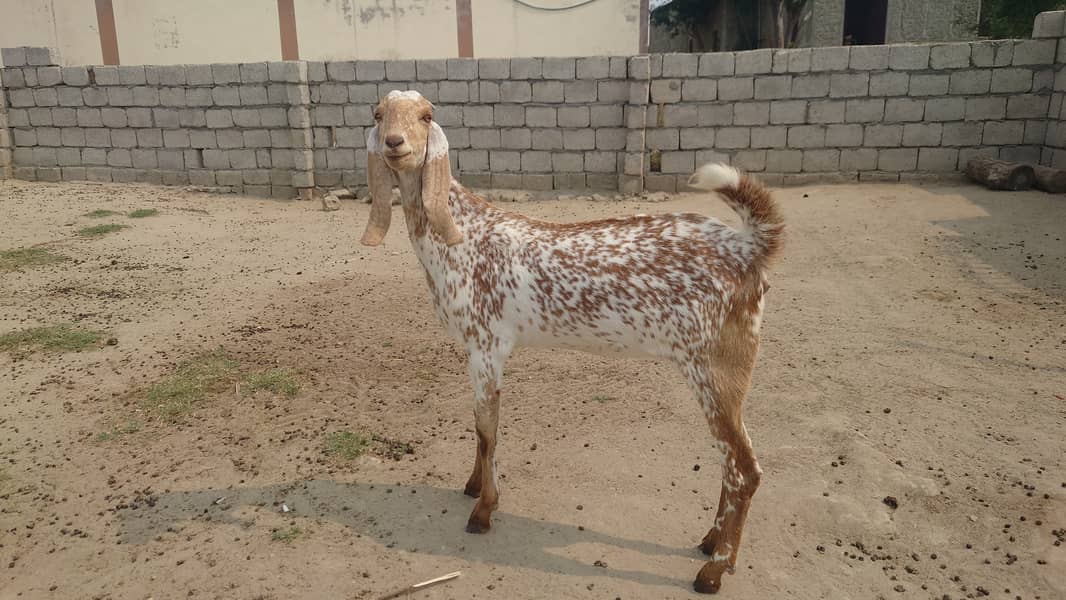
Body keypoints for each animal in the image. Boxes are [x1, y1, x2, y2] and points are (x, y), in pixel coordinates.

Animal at [362, 90, 788, 596]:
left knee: (744, 468)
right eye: (379, 114)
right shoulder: (474, 348)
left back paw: (712, 572)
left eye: (427, 116)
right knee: (732, 460)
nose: (395, 143)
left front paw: (484, 511)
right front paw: (472, 486)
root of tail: (750, 248)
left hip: (717, 365)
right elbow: (480, 428)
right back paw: (710, 545)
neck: (462, 234)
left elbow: (488, 429)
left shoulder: (487, 345)